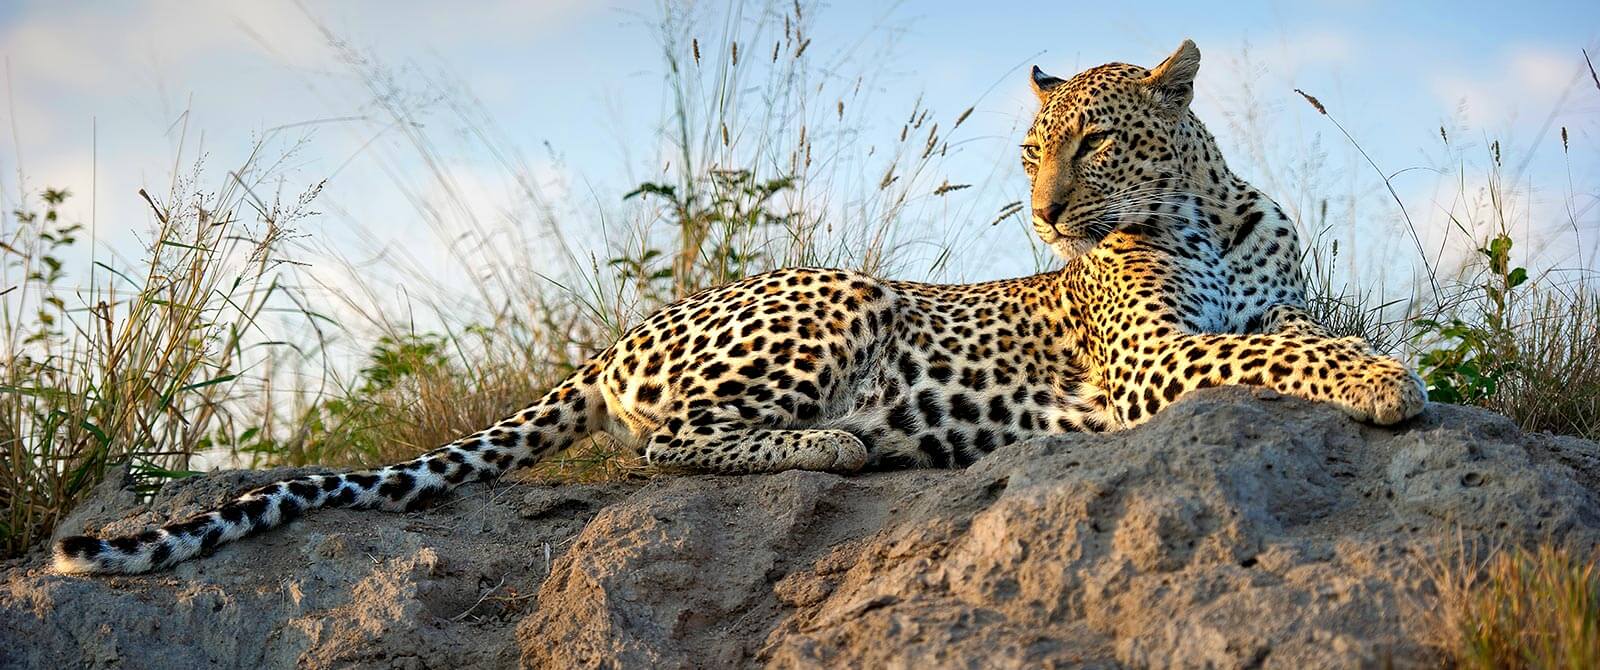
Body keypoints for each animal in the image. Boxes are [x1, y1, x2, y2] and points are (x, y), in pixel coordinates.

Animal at [50, 40, 1427, 575]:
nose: (1041, 214)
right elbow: (1279, 357)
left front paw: (1375, 360)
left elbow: (1302, 330)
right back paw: (845, 440)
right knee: (659, 441)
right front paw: (1382, 382)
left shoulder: (1236, 314)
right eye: (1030, 150)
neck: (1204, 214)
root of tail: (620, 330)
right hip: (839, 290)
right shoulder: (1149, 366)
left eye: (1091, 141)